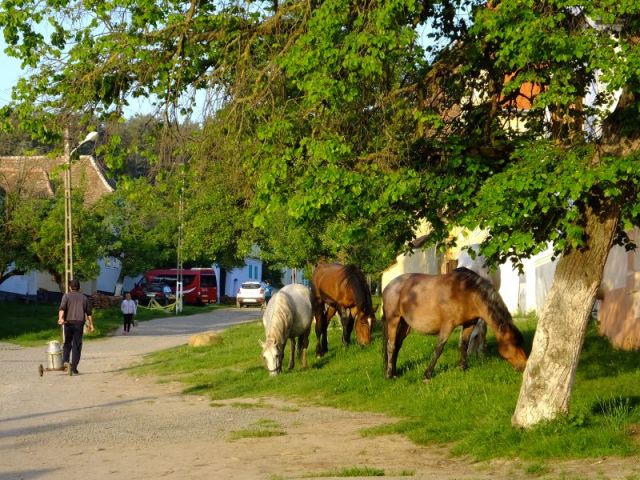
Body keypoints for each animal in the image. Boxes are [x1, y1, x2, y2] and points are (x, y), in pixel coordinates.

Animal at [381, 267, 527, 381]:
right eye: (513, 344)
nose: (524, 366)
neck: (466, 292)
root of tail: (388, 286)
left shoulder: (469, 324)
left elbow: (463, 345)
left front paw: (462, 367)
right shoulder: (447, 325)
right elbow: (439, 349)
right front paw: (427, 374)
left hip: (405, 325)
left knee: (397, 345)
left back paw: (394, 372)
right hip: (393, 320)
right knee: (391, 346)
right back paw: (389, 375)